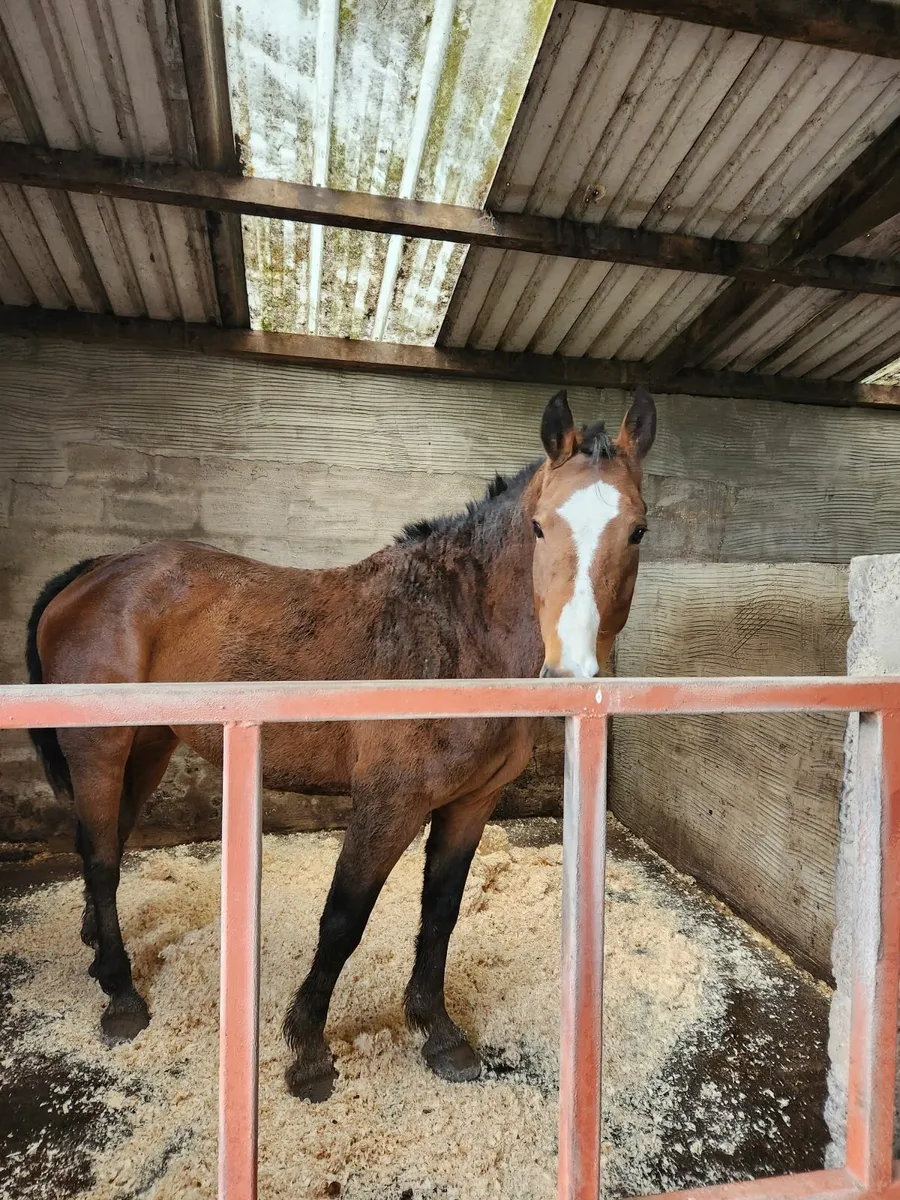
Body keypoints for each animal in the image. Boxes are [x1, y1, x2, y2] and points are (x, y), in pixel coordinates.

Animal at [25, 386, 655, 1102]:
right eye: (541, 527)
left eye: (637, 530)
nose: (571, 670)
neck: (454, 633)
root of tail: (94, 572)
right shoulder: (388, 803)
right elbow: (343, 920)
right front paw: (308, 1051)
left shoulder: (471, 805)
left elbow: (440, 912)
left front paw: (438, 1033)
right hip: (99, 748)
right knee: (102, 857)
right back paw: (122, 996)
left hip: (148, 746)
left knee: (107, 840)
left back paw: (99, 954)